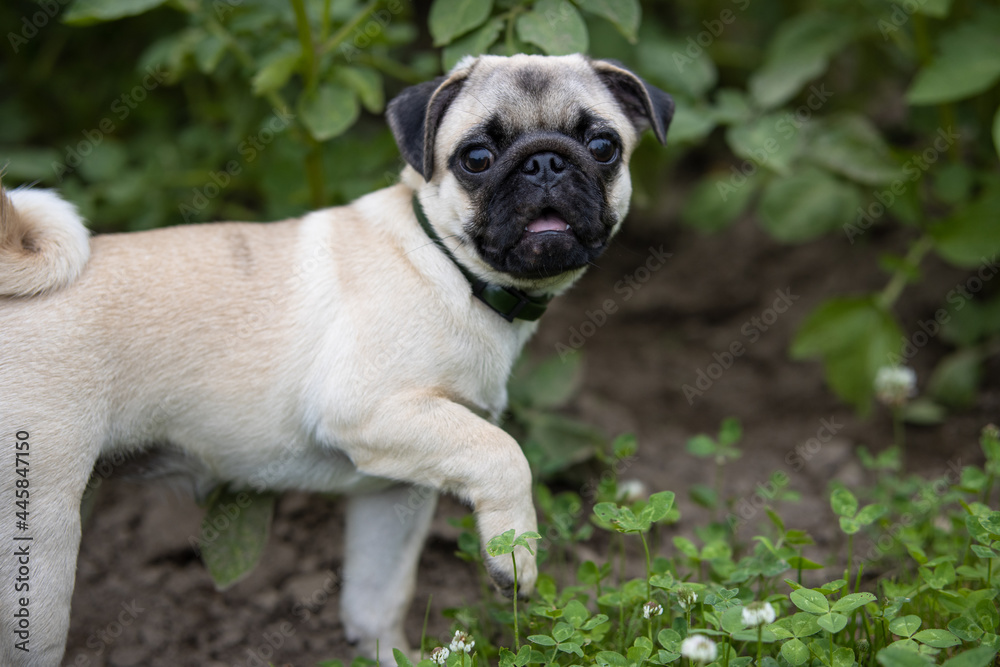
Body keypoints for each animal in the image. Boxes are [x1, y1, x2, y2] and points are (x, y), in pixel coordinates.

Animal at [1, 54, 672, 664]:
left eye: (604, 146)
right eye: (476, 158)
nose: (545, 161)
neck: (446, 266)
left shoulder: (395, 490)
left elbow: (377, 598)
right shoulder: (372, 412)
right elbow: (504, 455)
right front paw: (516, 555)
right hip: (42, 530)